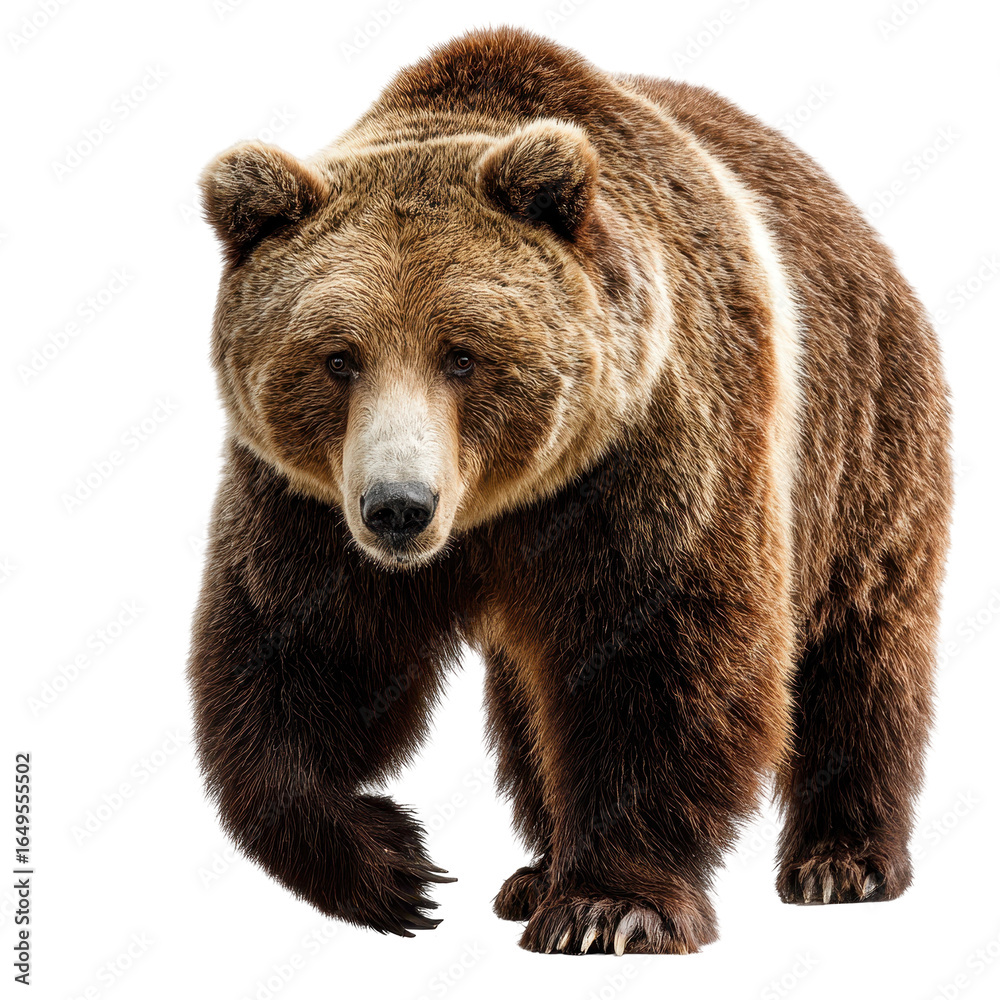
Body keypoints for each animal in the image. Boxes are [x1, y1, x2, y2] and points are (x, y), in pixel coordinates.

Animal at [189, 26, 952, 955]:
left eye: (463, 353)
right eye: (338, 357)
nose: (399, 508)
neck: (493, 509)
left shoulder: (646, 453)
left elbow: (657, 659)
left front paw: (607, 908)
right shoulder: (306, 501)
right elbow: (296, 655)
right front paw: (396, 868)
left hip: (860, 445)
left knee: (860, 649)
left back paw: (842, 861)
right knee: (529, 699)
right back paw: (533, 872)